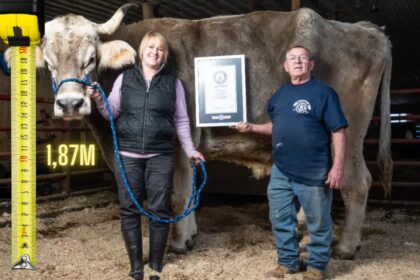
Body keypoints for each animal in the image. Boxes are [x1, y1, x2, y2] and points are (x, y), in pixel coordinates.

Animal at [7, 3, 394, 260]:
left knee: (358, 184)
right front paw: (189, 234)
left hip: (349, 134)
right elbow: (188, 192)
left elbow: (177, 195)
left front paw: (178, 243)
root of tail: (367, 29)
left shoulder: (178, 141)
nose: (70, 104)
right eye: (50, 63)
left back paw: (344, 247)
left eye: (90, 59)